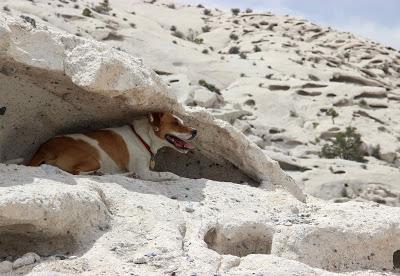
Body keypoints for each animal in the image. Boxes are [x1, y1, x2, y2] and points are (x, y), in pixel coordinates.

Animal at [27, 112, 197, 181]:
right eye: (175, 123)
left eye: (182, 121)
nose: (195, 131)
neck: (143, 138)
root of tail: (44, 149)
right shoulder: (143, 172)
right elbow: (168, 173)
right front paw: (177, 176)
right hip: (94, 159)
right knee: (79, 173)